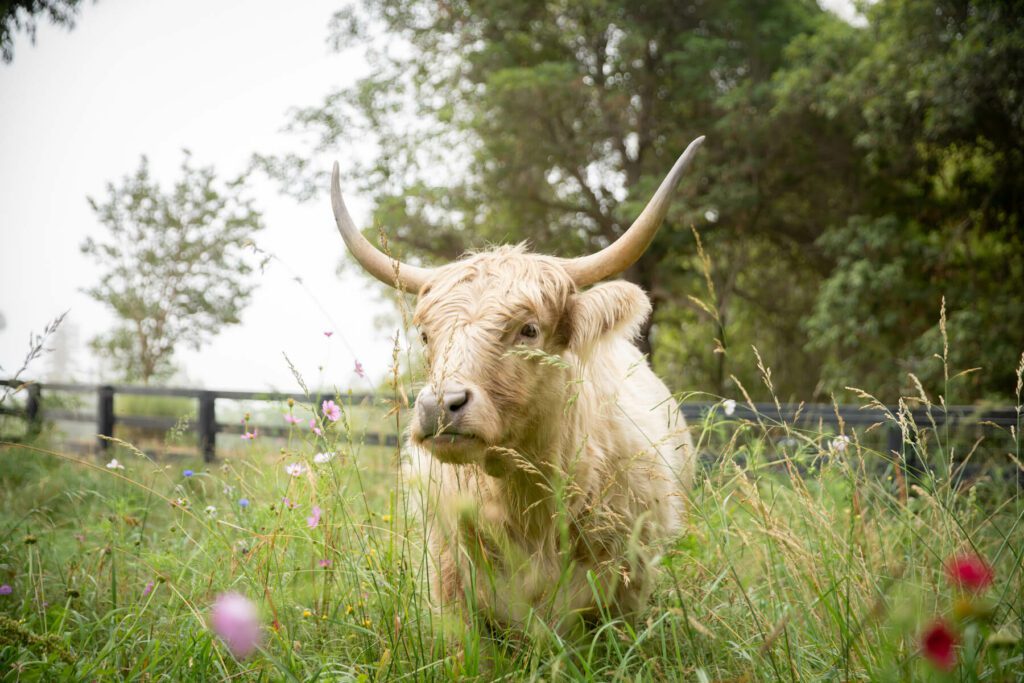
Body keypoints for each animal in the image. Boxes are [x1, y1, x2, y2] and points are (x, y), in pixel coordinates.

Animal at [327, 136, 704, 634]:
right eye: (426, 334)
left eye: (528, 329)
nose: (440, 406)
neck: (529, 505)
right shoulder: (452, 589)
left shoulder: (626, 590)